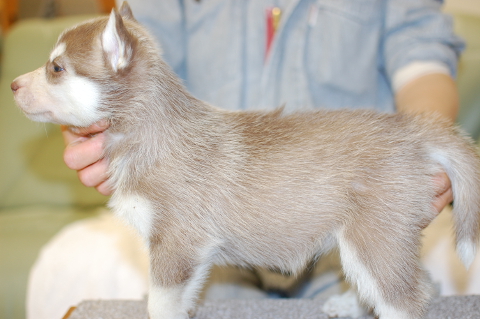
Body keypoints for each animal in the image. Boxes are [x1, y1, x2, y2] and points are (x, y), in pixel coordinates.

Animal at [11, 3, 480, 319]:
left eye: (56, 68)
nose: (13, 84)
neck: (150, 129)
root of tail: (413, 129)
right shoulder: (192, 255)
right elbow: (181, 300)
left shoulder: (176, 244)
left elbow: (160, 302)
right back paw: (349, 304)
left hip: (373, 235)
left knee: (408, 295)